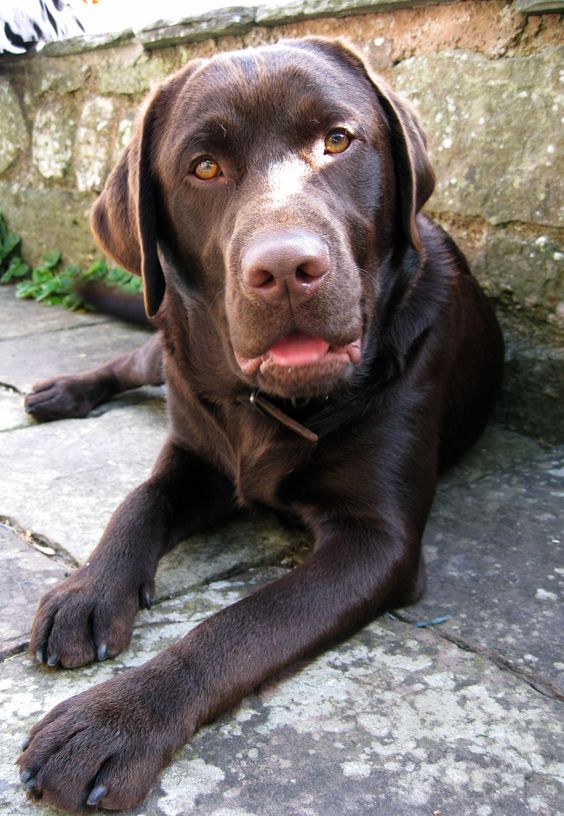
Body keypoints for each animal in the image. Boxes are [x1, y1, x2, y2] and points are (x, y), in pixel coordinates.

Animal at [17, 36, 504, 808]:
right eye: (203, 167)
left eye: (338, 140)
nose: (285, 269)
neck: (273, 404)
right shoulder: (196, 454)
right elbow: (138, 501)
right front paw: (87, 589)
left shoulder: (377, 542)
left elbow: (239, 625)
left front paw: (116, 718)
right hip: (166, 345)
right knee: (129, 362)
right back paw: (63, 391)